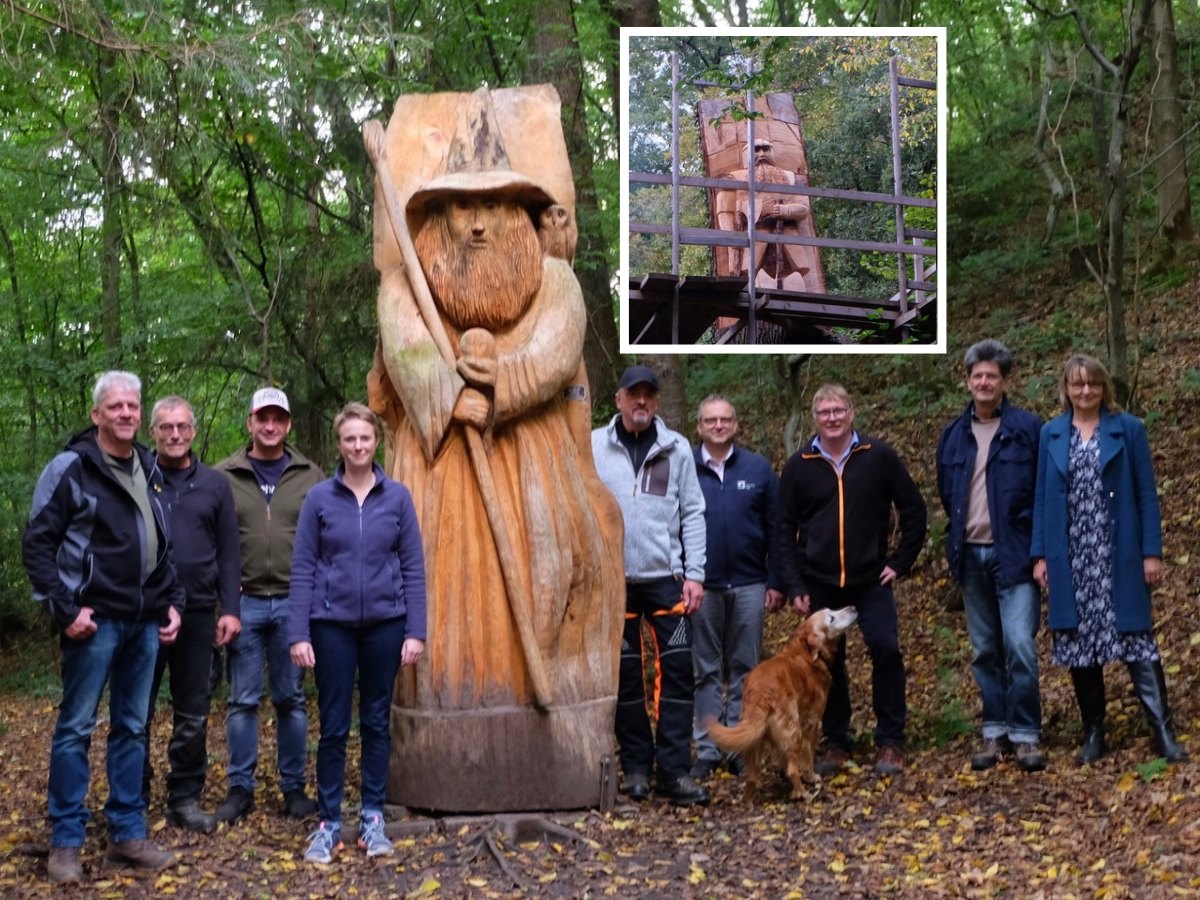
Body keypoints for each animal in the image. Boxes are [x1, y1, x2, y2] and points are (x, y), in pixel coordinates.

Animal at [705, 609, 859, 801]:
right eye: (831, 618)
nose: (853, 607)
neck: (805, 652)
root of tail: (760, 694)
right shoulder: (811, 723)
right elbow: (807, 756)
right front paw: (810, 776)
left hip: (755, 739)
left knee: (752, 777)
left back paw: (747, 799)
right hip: (793, 731)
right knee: (792, 770)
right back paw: (804, 794)